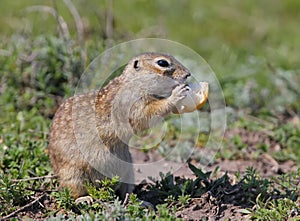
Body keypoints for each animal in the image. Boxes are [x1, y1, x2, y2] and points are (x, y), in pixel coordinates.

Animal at [47, 52, 191, 204]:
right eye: (162, 63)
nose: (188, 74)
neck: (134, 83)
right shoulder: (132, 105)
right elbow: (148, 114)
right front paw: (177, 94)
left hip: (129, 171)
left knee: (125, 193)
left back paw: (141, 202)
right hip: (73, 174)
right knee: (72, 190)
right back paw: (84, 198)